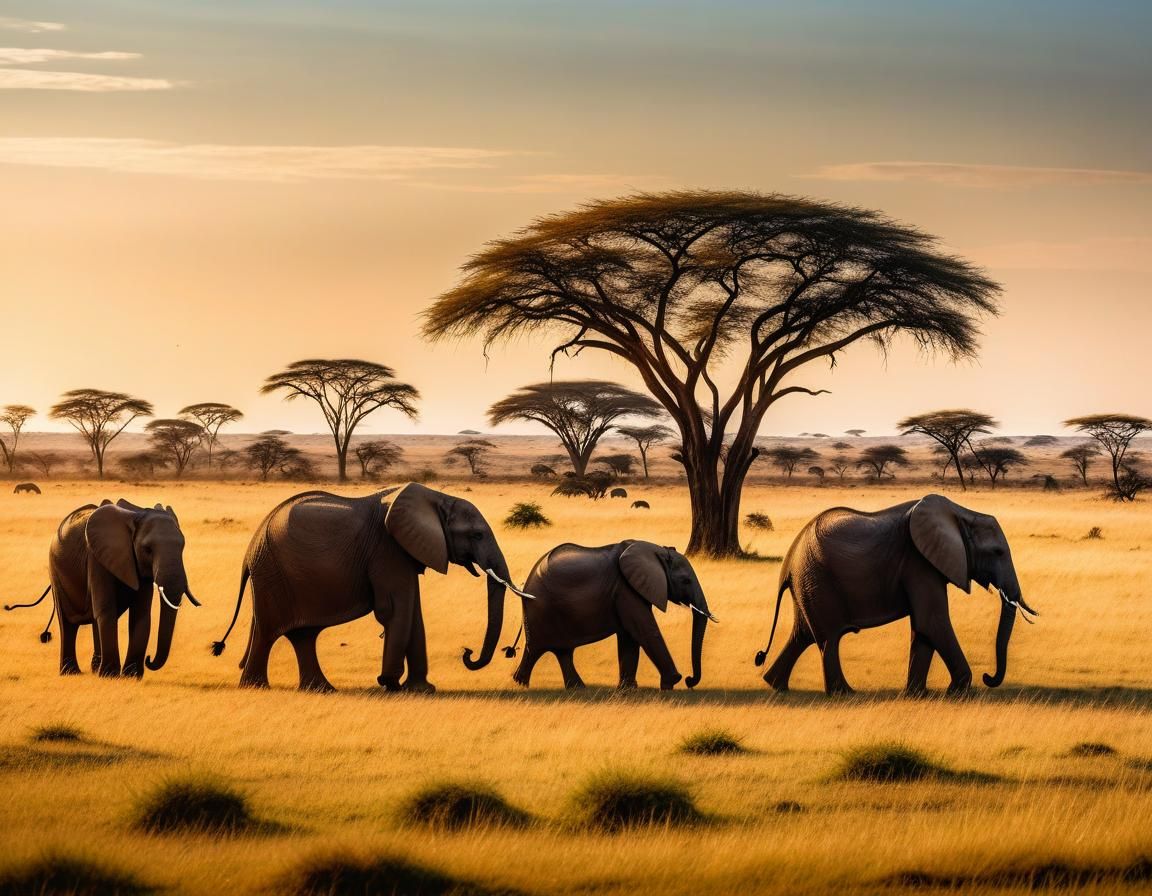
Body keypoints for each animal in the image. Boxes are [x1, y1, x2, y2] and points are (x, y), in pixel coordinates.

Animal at [30, 500, 198, 677]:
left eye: (183, 547)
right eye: (148, 549)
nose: (149, 659)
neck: (136, 514)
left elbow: (141, 614)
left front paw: (131, 676)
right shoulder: (97, 558)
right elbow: (106, 610)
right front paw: (109, 676)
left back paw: (94, 669)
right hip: (56, 571)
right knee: (67, 622)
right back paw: (71, 672)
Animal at [211, 483, 528, 692]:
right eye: (477, 535)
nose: (467, 653)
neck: (437, 498)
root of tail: (250, 550)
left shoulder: (403, 551)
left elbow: (412, 612)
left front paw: (420, 689)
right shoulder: (387, 549)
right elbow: (395, 609)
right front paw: (390, 684)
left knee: (303, 635)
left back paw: (322, 689)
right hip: (272, 574)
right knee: (268, 632)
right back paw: (256, 688)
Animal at [507, 540, 714, 690]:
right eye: (686, 581)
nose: (689, 680)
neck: (656, 550)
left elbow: (629, 638)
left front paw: (628, 690)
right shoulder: (626, 589)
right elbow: (644, 630)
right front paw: (671, 683)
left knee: (560, 651)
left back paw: (575, 688)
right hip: (541, 609)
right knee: (536, 649)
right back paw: (523, 685)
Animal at [755, 494, 1036, 696]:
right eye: (998, 552)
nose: (988, 677)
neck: (963, 513)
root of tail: (789, 561)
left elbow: (923, 629)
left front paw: (917, 694)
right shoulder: (918, 562)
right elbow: (932, 622)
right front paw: (958, 692)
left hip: (808, 584)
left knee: (802, 635)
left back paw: (776, 685)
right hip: (817, 581)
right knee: (829, 639)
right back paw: (844, 694)